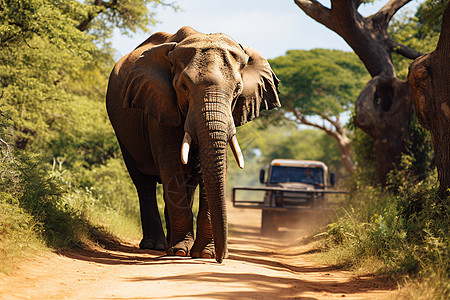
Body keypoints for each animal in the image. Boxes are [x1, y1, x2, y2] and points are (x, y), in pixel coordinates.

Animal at [107, 26, 280, 262]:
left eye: (237, 90)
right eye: (183, 87)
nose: (222, 258)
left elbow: (216, 167)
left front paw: (204, 254)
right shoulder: (159, 103)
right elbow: (171, 164)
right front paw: (181, 252)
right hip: (123, 132)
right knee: (144, 183)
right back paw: (158, 246)